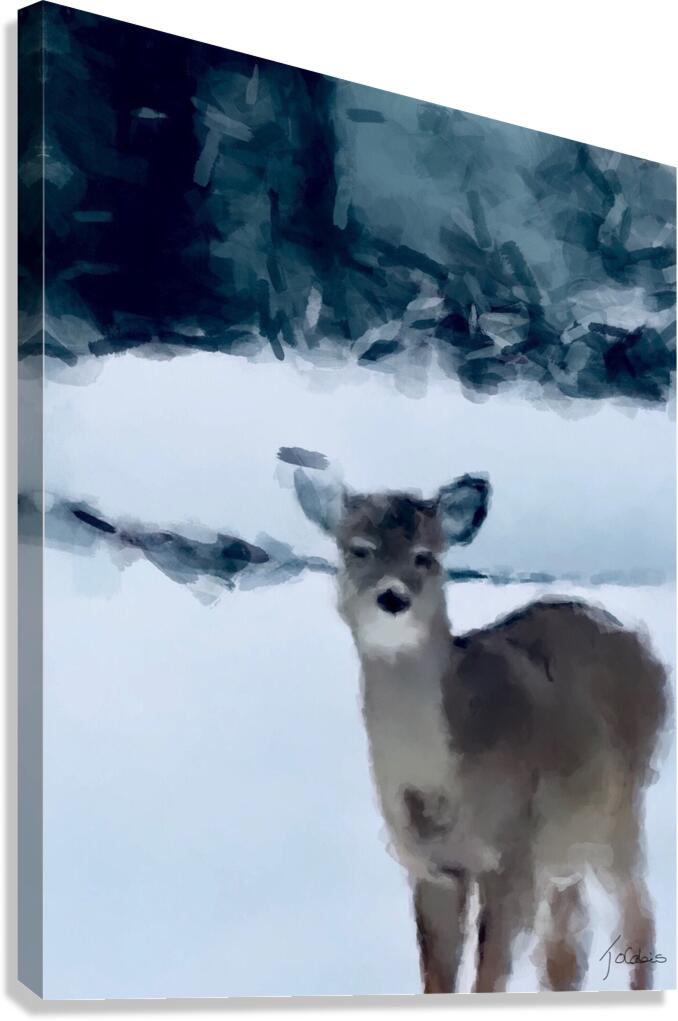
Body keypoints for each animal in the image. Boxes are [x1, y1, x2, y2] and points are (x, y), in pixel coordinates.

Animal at [283, 451, 668, 994]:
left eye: (426, 556)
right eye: (358, 549)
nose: (392, 597)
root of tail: (646, 648)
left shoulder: (512, 852)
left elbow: (488, 977)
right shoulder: (428, 865)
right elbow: (437, 979)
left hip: (619, 811)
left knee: (637, 917)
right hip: (567, 842)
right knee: (565, 950)